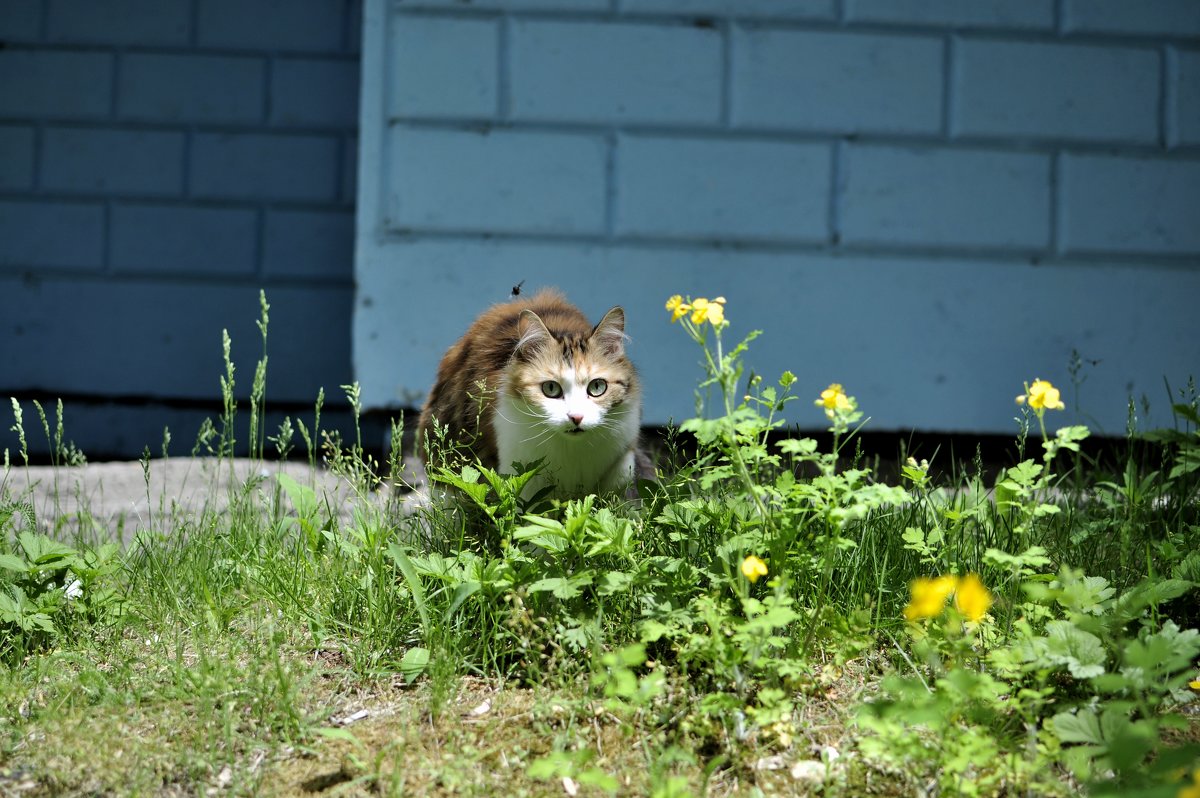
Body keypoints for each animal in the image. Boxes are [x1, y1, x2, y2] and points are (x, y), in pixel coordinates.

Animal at [422, 286, 648, 499]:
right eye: (551, 388)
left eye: (597, 387)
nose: (576, 417)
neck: (572, 453)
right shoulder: (518, 470)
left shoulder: (625, 446)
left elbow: (619, 481)